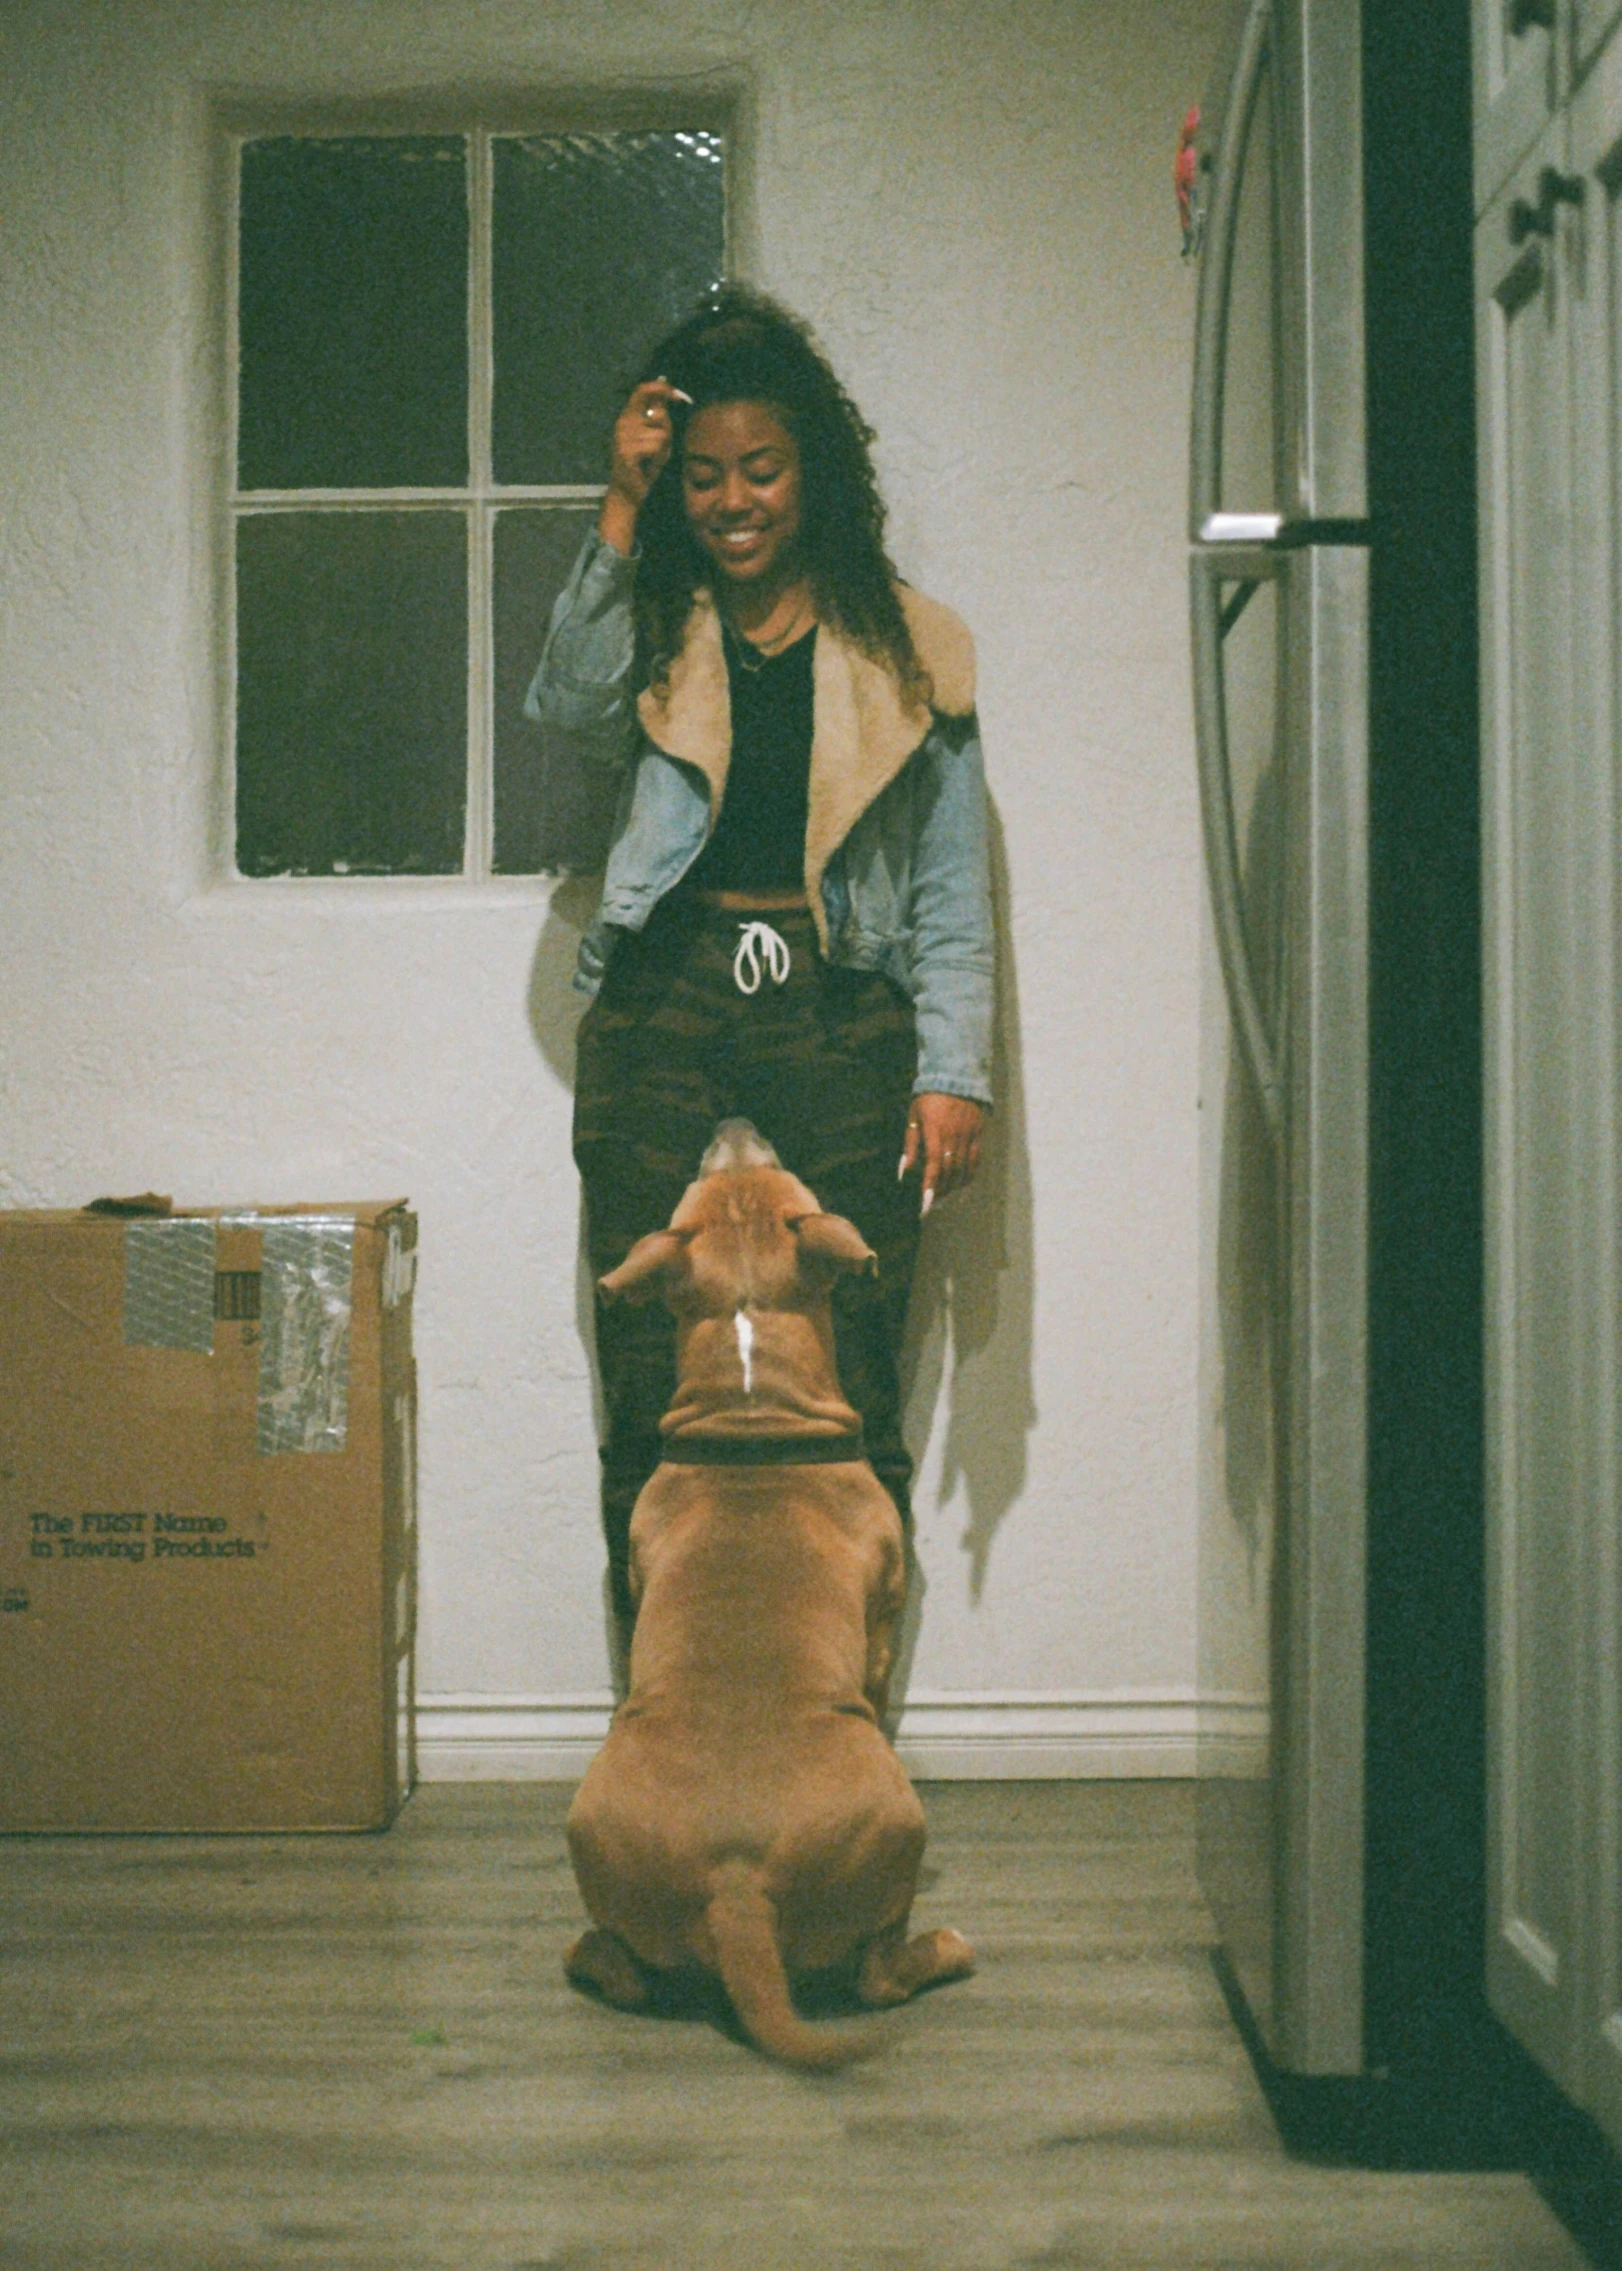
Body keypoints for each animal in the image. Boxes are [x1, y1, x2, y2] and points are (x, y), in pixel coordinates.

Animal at [567, 1117, 972, 2062]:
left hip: (591, 1834)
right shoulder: (885, 1614)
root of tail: (736, 1883)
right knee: (878, 1972)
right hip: (899, 1830)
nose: (734, 1122)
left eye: (735, 1175)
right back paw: (943, 1947)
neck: (752, 1403)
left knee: (618, 1965)